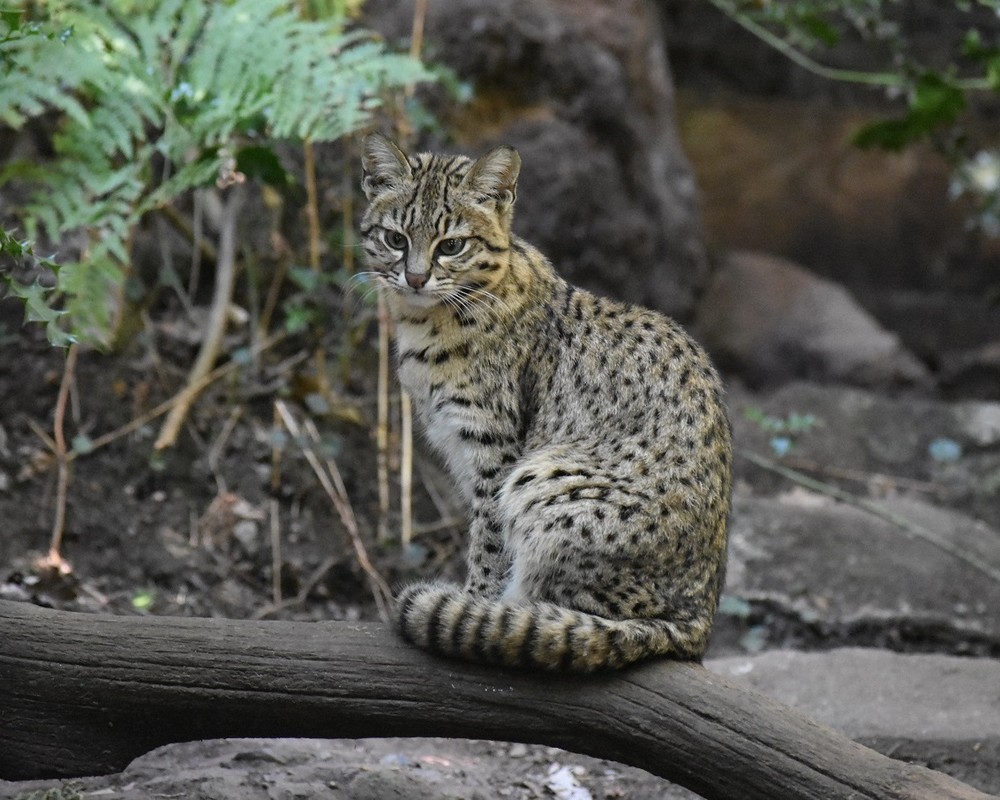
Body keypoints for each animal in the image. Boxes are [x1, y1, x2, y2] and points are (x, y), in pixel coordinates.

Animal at [362, 134, 736, 672]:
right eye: (395, 239)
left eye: (451, 245)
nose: (413, 279)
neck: (427, 322)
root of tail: (699, 622)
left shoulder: (495, 455)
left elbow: (489, 545)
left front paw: (475, 603)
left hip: (547, 481)